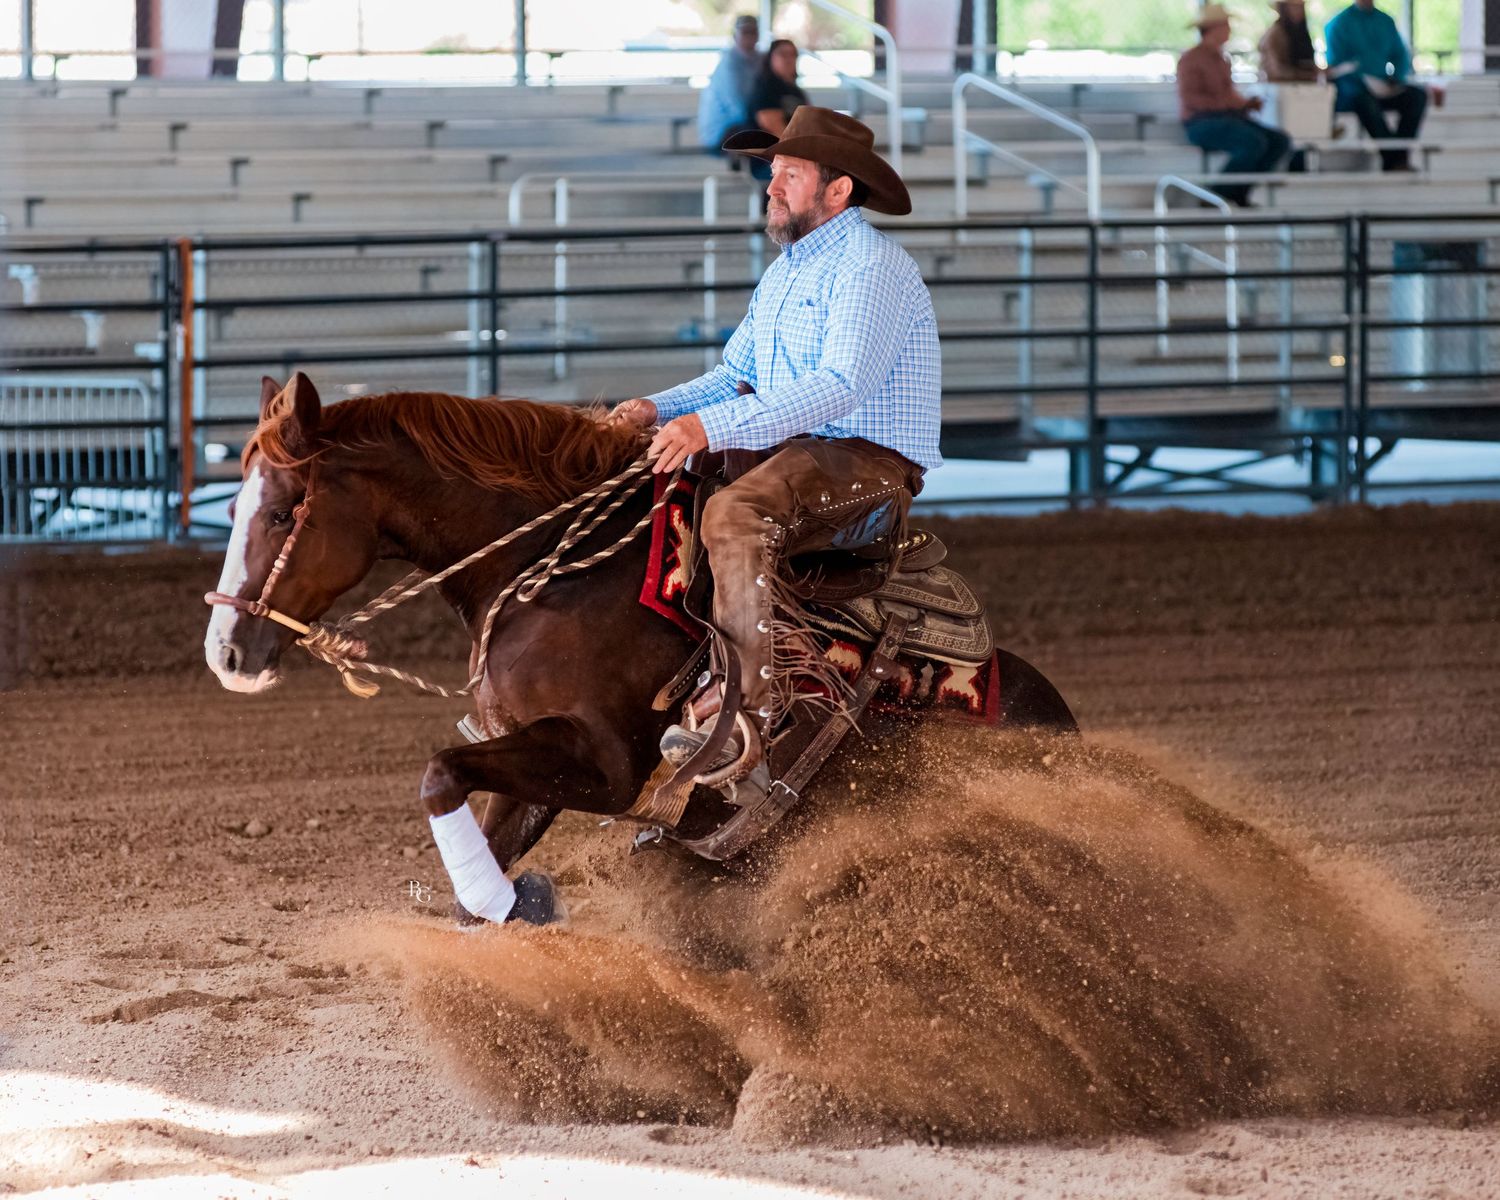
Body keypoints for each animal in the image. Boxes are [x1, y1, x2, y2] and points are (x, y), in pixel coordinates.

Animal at [203, 373, 1078, 918]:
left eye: (281, 511)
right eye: (234, 507)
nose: (226, 654)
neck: (550, 571)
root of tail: (1061, 723)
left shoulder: (607, 764)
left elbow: (437, 772)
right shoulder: (533, 763)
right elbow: (469, 846)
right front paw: (504, 908)